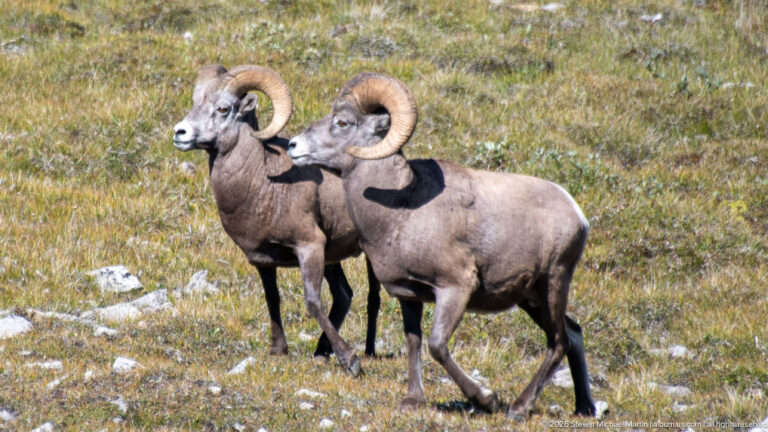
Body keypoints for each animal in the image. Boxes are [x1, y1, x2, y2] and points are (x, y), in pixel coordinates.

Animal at [172, 65, 380, 374]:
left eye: (223, 108)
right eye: (196, 102)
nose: (180, 132)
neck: (263, 181)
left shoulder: (309, 247)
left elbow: (313, 303)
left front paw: (350, 362)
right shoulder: (263, 261)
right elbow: (273, 299)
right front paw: (278, 350)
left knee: (372, 297)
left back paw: (367, 353)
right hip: (333, 259)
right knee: (344, 295)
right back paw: (321, 352)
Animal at [287, 73, 597, 419]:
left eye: (342, 122)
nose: (292, 146)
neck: (401, 211)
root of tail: (575, 212)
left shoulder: (454, 288)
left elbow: (436, 345)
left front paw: (485, 398)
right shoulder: (409, 296)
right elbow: (414, 343)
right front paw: (412, 400)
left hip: (553, 283)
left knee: (559, 342)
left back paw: (518, 407)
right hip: (531, 298)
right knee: (574, 334)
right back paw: (584, 408)